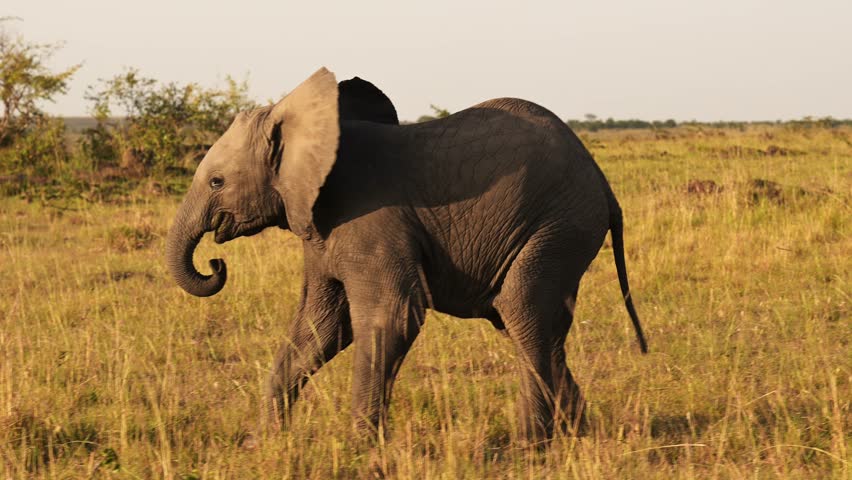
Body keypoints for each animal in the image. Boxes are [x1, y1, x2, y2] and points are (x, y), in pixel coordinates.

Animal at [165, 67, 644, 442]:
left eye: (216, 182)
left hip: (559, 223)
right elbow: (320, 327)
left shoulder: (371, 220)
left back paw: (533, 443)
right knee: (528, 324)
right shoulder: (319, 227)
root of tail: (603, 183)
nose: (215, 264)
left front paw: (360, 448)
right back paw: (574, 433)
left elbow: (389, 317)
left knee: (522, 309)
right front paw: (265, 443)